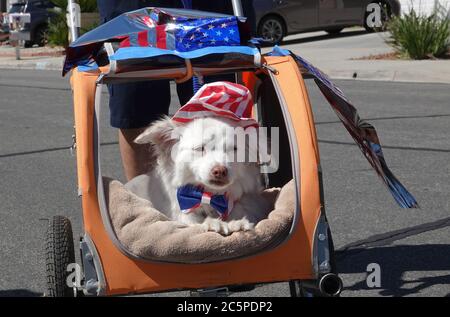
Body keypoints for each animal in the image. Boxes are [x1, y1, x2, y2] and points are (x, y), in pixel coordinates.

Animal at [125, 115, 270, 233]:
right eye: (200, 148)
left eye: (234, 149)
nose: (220, 170)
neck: (211, 197)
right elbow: (194, 223)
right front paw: (214, 224)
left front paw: (236, 223)